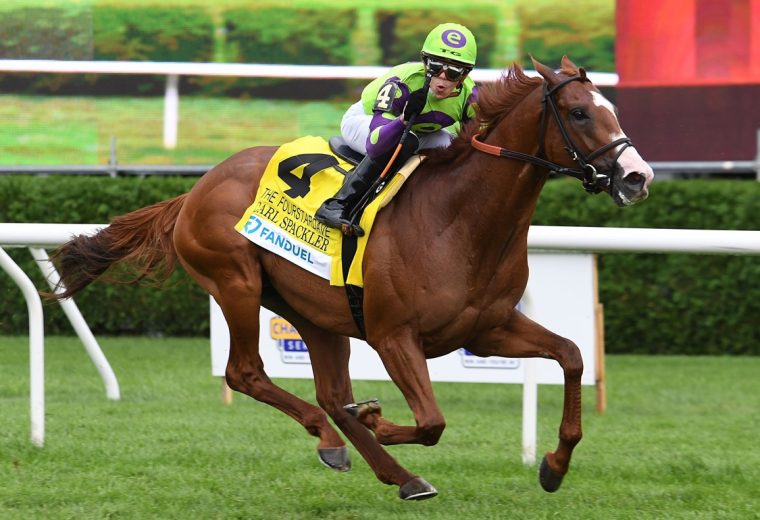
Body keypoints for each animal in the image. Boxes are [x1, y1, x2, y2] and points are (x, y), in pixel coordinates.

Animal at [47, 57, 652, 500]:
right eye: (578, 112)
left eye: (611, 108)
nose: (637, 176)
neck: (458, 220)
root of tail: (196, 187)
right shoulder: (393, 335)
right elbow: (431, 421)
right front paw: (379, 417)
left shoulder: (488, 328)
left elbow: (571, 355)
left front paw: (553, 465)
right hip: (236, 284)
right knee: (246, 373)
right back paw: (335, 440)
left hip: (314, 311)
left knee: (332, 392)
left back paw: (393, 472)